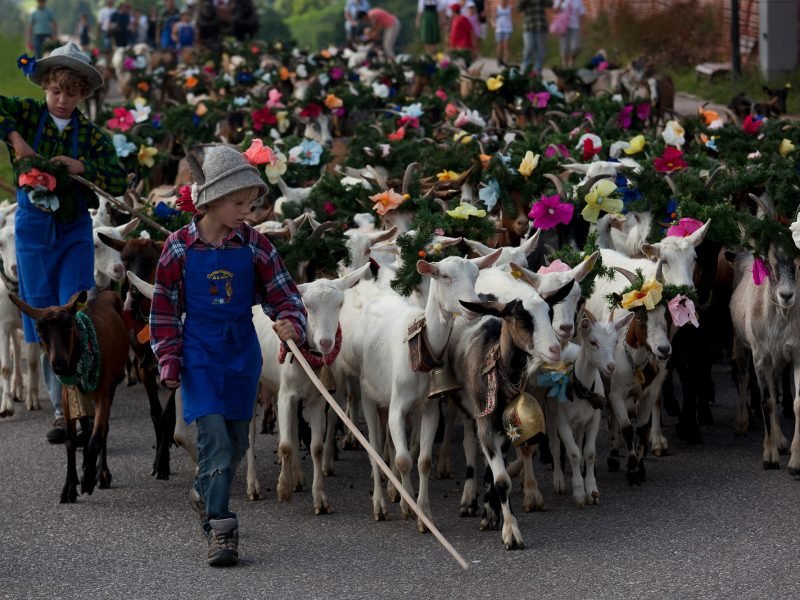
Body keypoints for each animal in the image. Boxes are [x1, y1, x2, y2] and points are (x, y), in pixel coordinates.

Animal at [9, 290, 128, 502]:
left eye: (70, 325)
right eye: (39, 331)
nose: (59, 364)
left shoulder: (103, 394)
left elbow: (97, 436)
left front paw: (89, 479)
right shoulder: (67, 395)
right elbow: (70, 440)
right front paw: (70, 486)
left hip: (111, 383)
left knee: (101, 430)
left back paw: (101, 472)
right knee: (87, 427)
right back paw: (86, 463)